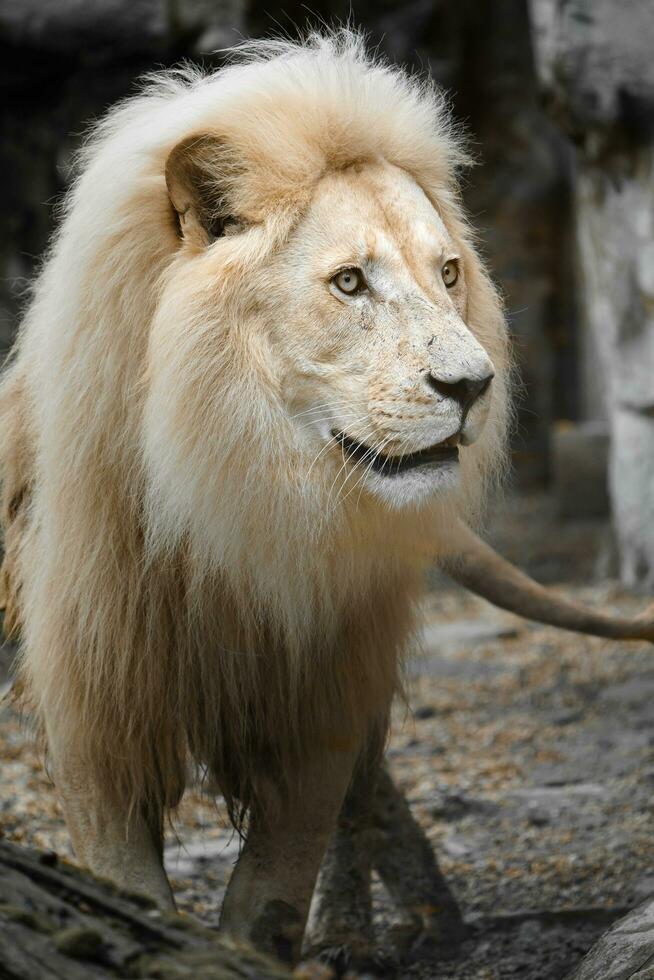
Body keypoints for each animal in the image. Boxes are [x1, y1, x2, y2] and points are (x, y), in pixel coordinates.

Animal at [1, 30, 654, 964]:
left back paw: (380, 927)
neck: (241, 499)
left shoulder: (322, 687)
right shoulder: (100, 701)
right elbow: (127, 880)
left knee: (366, 792)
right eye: (349, 283)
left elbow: (277, 890)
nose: (474, 386)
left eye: (448, 272)